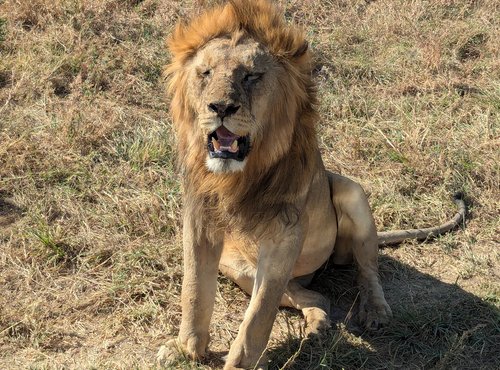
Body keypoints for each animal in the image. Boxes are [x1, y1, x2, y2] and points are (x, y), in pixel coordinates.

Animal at [158, 1, 466, 368]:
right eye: (204, 73)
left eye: (252, 76)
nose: (220, 107)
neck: (240, 176)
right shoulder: (200, 221)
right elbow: (194, 291)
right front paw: (184, 349)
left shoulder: (284, 234)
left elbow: (258, 317)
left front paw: (239, 363)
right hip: (239, 265)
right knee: (315, 296)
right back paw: (318, 326)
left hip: (352, 193)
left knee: (367, 269)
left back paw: (374, 312)